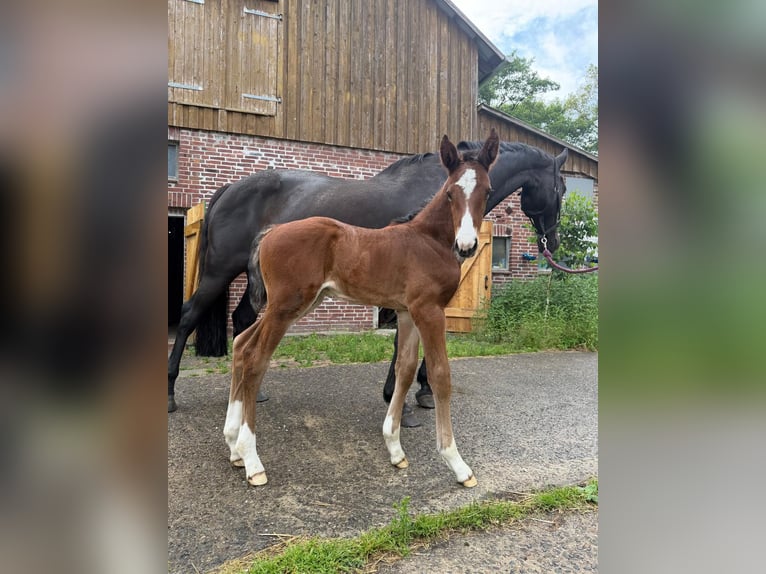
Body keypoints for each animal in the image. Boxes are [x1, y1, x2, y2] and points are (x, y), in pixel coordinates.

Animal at [168, 139, 568, 414]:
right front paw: (405, 395)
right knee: (188, 317)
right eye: (561, 188)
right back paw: (171, 392)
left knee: (243, 321)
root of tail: (228, 189)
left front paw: (420, 390)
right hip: (219, 273)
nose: (554, 241)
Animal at [224, 130, 499, 487]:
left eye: (487, 190)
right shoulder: (429, 310)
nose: (466, 246)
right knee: (256, 359)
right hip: (285, 306)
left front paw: (395, 449)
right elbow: (440, 375)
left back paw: (233, 447)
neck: (428, 240)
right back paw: (253, 461)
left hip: (293, 305)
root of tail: (271, 232)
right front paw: (458, 464)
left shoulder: (408, 312)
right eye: (451, 193)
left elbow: (404, 369)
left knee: (241, 344)